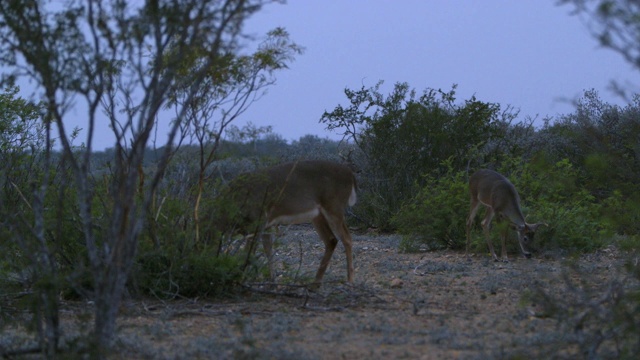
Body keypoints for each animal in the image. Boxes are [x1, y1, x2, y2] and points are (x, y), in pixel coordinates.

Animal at [214, 160, 356, 286]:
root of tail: (350, 173)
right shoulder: (266, 225)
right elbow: (268, 251)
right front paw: (272, 281)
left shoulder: (258, 221)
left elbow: (249, 254)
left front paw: (241, 279)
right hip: (317, 215)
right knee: (331, 239)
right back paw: (315, 283)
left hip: (334, 206)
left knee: (346, 238)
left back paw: (349, 280)